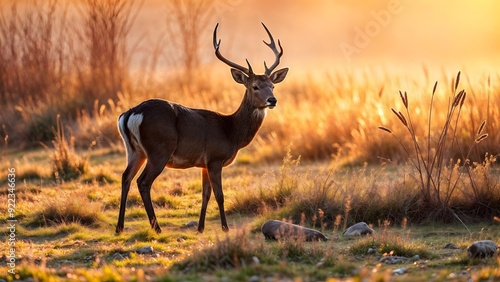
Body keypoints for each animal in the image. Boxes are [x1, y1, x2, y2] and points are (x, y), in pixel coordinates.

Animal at [115, 22, 290, 234]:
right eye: (255, 86)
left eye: (272, 85)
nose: (272, 100)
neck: (231, 132)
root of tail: (131, 113)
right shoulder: (215, 158)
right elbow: (220, 195)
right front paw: (225, 228)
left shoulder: (204, 163)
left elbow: (205, 194)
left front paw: (200, 227)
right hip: (158, 149)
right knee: (143, 182)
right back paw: (156, 228)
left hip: (134, 150)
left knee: (125, 177)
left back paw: (119, 227)